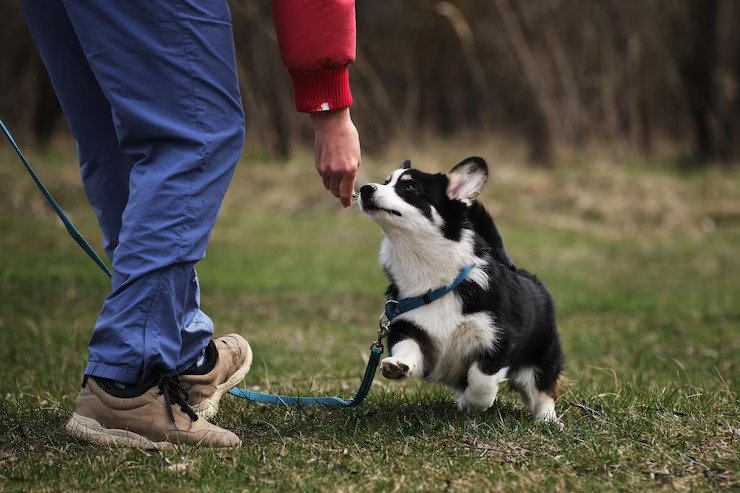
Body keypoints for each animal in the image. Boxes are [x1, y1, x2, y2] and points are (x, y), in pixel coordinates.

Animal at [356, 157, 560, 418]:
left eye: (410, 187)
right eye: (386, 181)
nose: (365, 189)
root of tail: (515, 268)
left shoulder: (498, 340)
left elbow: (481, 381)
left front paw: (476, 404)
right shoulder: (408, 328)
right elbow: (408, 348)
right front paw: (397, 365)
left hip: (541, 359)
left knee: (542, 390)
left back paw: (547, 419)